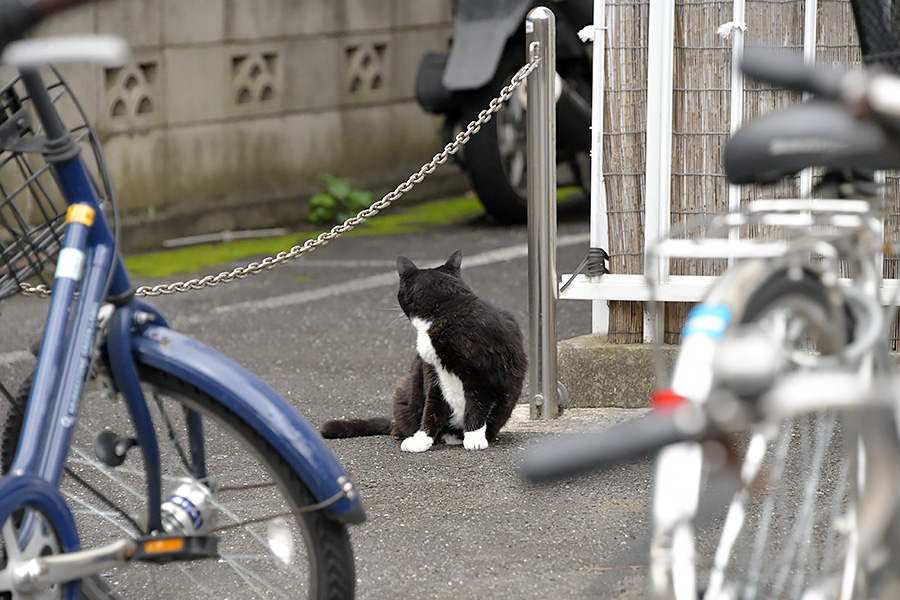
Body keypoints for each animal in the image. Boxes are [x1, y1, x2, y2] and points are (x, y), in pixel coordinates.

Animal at [320, 251, 528, 452]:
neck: (446, 308)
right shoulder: (432, 371)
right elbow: (432, 409)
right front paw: (421, 440)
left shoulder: (482, 375)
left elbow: (477, 405)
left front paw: (474, 438)